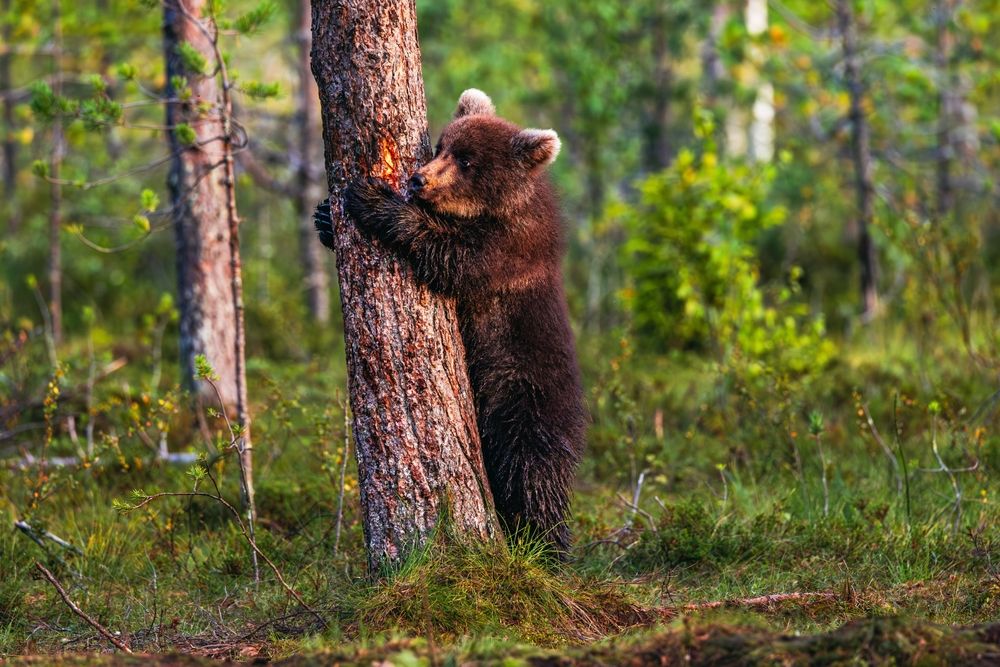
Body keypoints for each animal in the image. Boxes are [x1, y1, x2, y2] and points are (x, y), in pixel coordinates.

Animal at [314, 90, 584, 560]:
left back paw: (543, 547)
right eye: (441, 146)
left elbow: (450, 257)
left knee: (533, 477)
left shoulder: (507, 251)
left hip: (525, 399)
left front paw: (373, 197)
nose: (418, 180)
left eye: (468, 160)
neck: (493, 211)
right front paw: (326, 215)